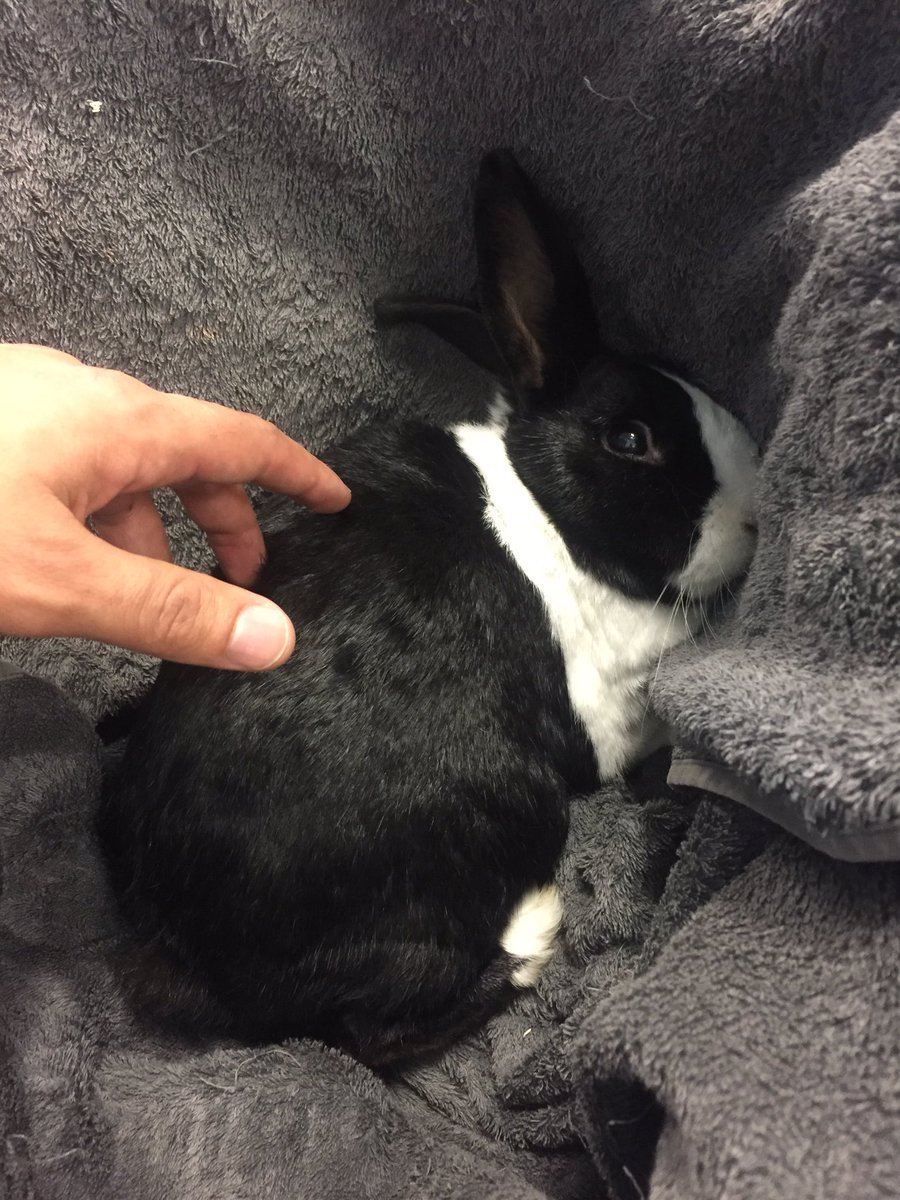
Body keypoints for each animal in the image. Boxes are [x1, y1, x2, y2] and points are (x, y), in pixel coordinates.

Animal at [99, 150, 758, 1068]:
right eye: (632, 439)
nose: (756, 515)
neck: (549, 515)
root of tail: (190, 963)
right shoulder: (609, 715)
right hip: (497, 821)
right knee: (378, 1034)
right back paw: (533, 935)